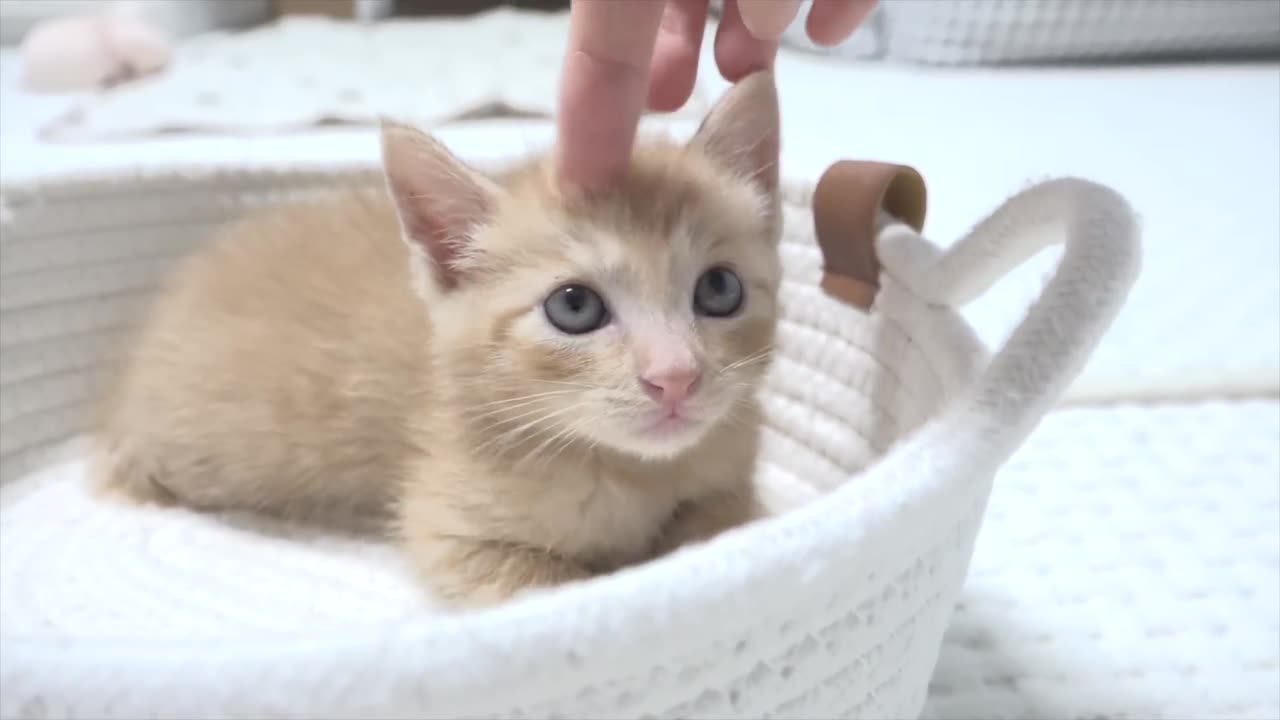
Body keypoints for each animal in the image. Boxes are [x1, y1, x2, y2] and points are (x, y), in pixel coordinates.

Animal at [92, 68, 778, 604]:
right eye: (575, 306)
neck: (631, 471)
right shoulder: (455, 530)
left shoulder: (729, 475)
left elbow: (723, 523)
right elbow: (559, 586)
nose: (676, 377)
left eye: (720, 289)